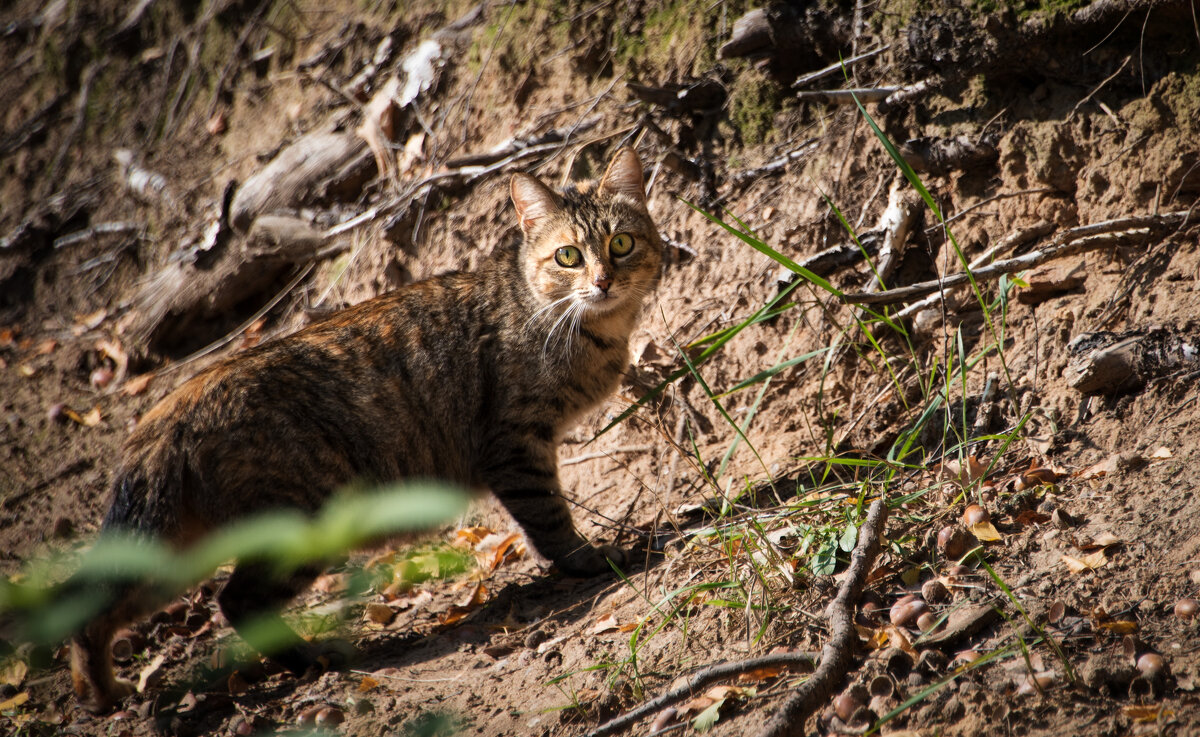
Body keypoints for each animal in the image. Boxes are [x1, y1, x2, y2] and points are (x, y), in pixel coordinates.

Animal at [70, 147, 667, 715]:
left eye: (620, 244)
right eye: (568, 256)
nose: (603, 281)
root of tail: (166, 412)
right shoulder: (516, 446)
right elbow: (549, 516)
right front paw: (588, 559)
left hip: (176, 547)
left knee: (92, 612)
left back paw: (100, 694)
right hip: (301, 519)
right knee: (233, 602)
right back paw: (307, 658)